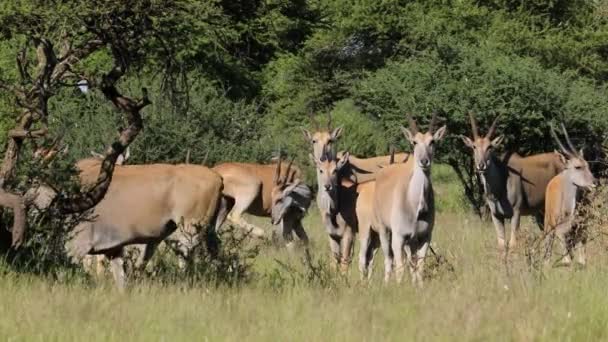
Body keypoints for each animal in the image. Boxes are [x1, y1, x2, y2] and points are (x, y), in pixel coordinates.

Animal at [372, 113, 444, 286]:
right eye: (414, 142)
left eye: (432, 141)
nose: (424, 161)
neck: (415, 205)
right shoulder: (399, 237)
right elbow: (400, 267)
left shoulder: (424, 237)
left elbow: (420, 266)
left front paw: (419, 287)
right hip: (384, 230)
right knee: (389, 260)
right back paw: (387, 283)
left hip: (411, 241)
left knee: (411, 263)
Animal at [460, 113, 564, 250]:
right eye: (474, 146)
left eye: (490, 147)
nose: (481, 165)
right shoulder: (496, 216)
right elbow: (502, 245)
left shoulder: (516, 213)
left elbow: (513, 243)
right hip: (542, 211)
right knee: (548, 234)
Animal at [544, 124, 596, 266]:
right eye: (578, 167)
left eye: (588, 165)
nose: (594, 183)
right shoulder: (560, 230)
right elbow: (567, 257)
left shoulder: (582, 229)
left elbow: (582, 258)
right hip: (548, 223)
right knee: (548, 243)